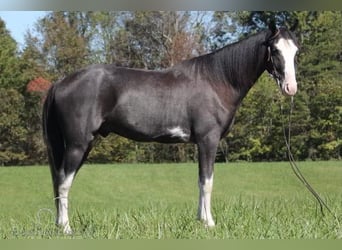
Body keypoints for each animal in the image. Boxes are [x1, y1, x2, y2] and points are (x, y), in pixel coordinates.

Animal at [42, 22, 300, 233]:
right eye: (275, 50)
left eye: (295, 51)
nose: (291, 87)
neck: (217, 80)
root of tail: (60, 82)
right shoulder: (208, 140)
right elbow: (208, 182)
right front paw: (210, 224)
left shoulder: (200, 143)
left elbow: (200, 180)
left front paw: (200, 221)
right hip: (77, 145)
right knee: (63, 183)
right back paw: (66, 228)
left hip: (83, 145)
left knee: (60, 181)